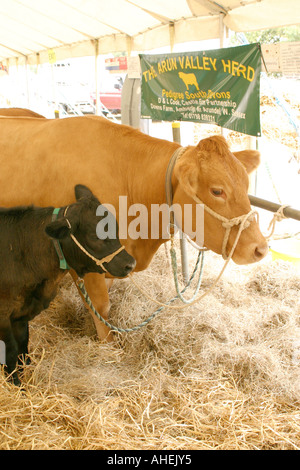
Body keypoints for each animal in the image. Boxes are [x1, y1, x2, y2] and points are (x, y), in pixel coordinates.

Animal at [0, 114, 268, 342]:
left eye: (246, 185)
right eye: (217, 191)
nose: (260, 249)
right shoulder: (87, 255)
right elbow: (101, 305)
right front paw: (106, 345)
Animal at [0, 185, 135, 386]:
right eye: (95, 236)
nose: (130, 264)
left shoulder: (21, 314)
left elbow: (23, 347)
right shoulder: (4, 314)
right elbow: (10, 353)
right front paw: (17, 386)